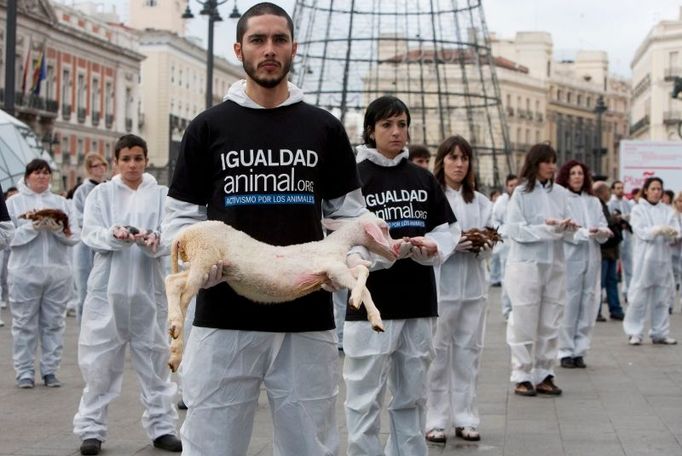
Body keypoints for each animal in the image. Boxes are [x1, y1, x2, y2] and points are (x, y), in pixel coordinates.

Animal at [166, 212, 398, 372]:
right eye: (385, 228)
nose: (396, 249)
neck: (337, 244)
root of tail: (182, 236)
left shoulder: (330, 277)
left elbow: (360, 270)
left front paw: (374, 318)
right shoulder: (334, 269)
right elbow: (363, 278)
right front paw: (362, 307)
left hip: (209, 266)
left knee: (174, 284)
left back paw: (174, 342)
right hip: (204, 257)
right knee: (178, 288)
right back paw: (175, 332)